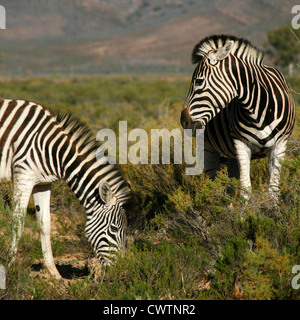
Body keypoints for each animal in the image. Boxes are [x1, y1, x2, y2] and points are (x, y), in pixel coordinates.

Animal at [0, 98, 134, 280]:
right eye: (114, 229)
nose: (122, 270)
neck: (52, 149)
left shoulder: (42, 183)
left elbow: (45, 224)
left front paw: (54, 273)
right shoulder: (23, 177)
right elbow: (18, 223)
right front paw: (10, 267)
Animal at [180, 33, 296, 201]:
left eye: (199, 81)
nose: (184, 121)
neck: (258, 109)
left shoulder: (280, 144)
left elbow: (273, 190)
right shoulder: (241, 144)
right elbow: (245, 190)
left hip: (231, 154)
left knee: (230, 185)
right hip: (208, 146)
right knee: (213, 183)